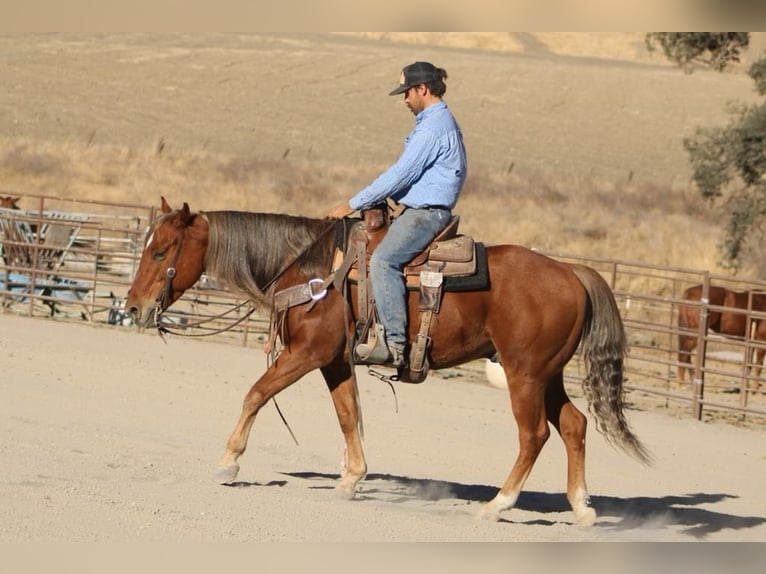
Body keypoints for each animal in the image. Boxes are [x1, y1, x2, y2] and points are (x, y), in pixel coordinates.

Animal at [124, 197, 652, 526]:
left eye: (161, 250)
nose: (133, 308)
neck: (313, 269)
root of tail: (572, 271)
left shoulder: (306, 354)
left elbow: (256, 392)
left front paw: (228, 463)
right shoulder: (334, 362)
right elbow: (347, 414)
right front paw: (351, 479)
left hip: (524, 375)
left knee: (534, 435)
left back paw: (497, 506)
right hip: (547, 375)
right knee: (575, 425)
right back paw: (582, 508)